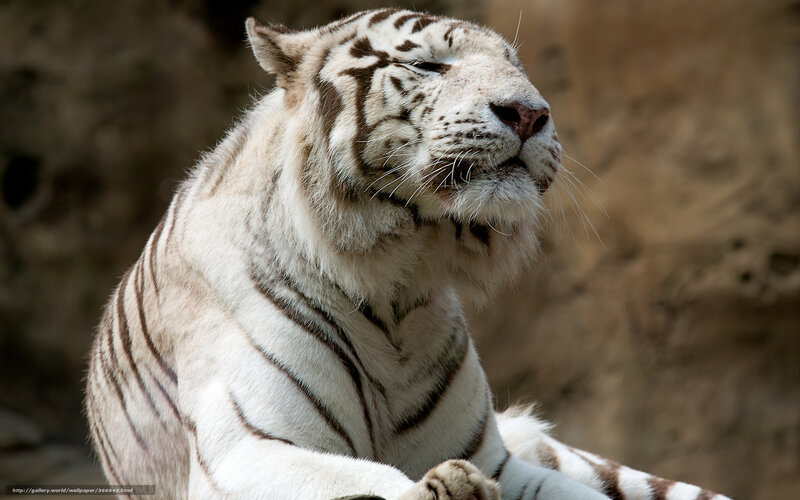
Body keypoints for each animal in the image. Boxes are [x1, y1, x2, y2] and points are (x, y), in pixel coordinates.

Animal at [84, 8, 734, 500]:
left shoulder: (501, 461)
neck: (399, 277)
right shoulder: (247, 449)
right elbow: (366, 482)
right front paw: (445, 489)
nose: (530, 113)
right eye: (427, 64)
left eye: (516, 69)